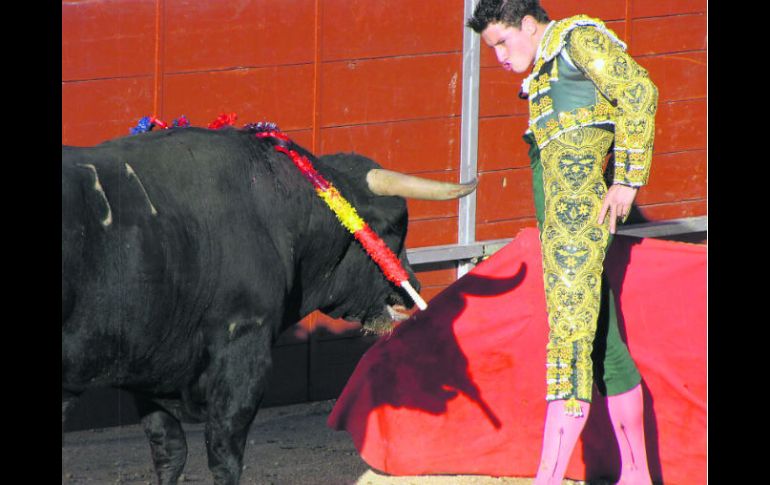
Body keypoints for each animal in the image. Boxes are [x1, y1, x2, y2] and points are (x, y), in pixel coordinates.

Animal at [63, 126, 474, 482]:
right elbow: (224, 453)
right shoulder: (245, 348)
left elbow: (169, 452)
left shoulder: (152, 374)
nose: (413, 287)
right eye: (392, 228)